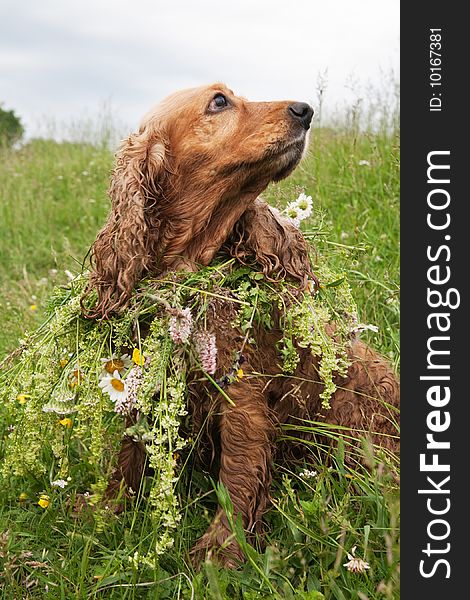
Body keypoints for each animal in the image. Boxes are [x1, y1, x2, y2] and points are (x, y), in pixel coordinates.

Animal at [82, 83, 398, 568]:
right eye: (219, 102)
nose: (306, 110)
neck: (193, 266)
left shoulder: (241, 400)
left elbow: (238, 477)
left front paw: (220, 552)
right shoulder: (147, 381)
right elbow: (129, 454)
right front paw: (108, 510)